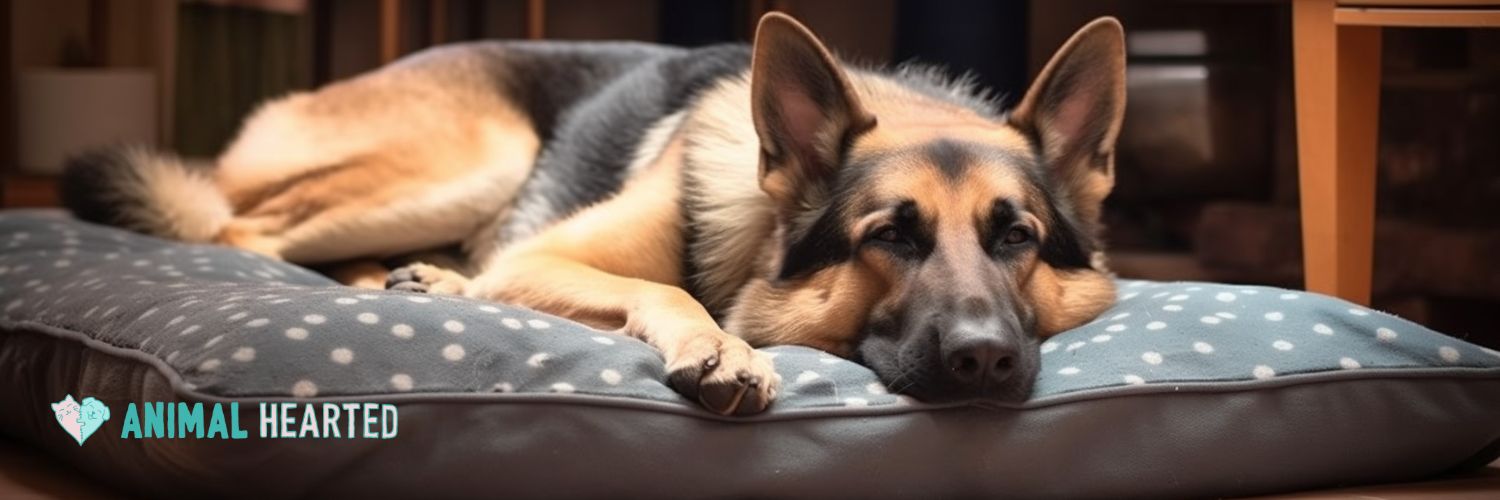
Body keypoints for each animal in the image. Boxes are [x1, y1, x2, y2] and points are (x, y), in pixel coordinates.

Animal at [61, 14, 1128, 411]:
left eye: (1017, 237)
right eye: (891, 236)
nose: (983, 361)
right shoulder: (541, 260)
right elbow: (671, 293)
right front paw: (725, 348)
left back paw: (425, 280)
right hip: (478, 159)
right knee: (238, 230)